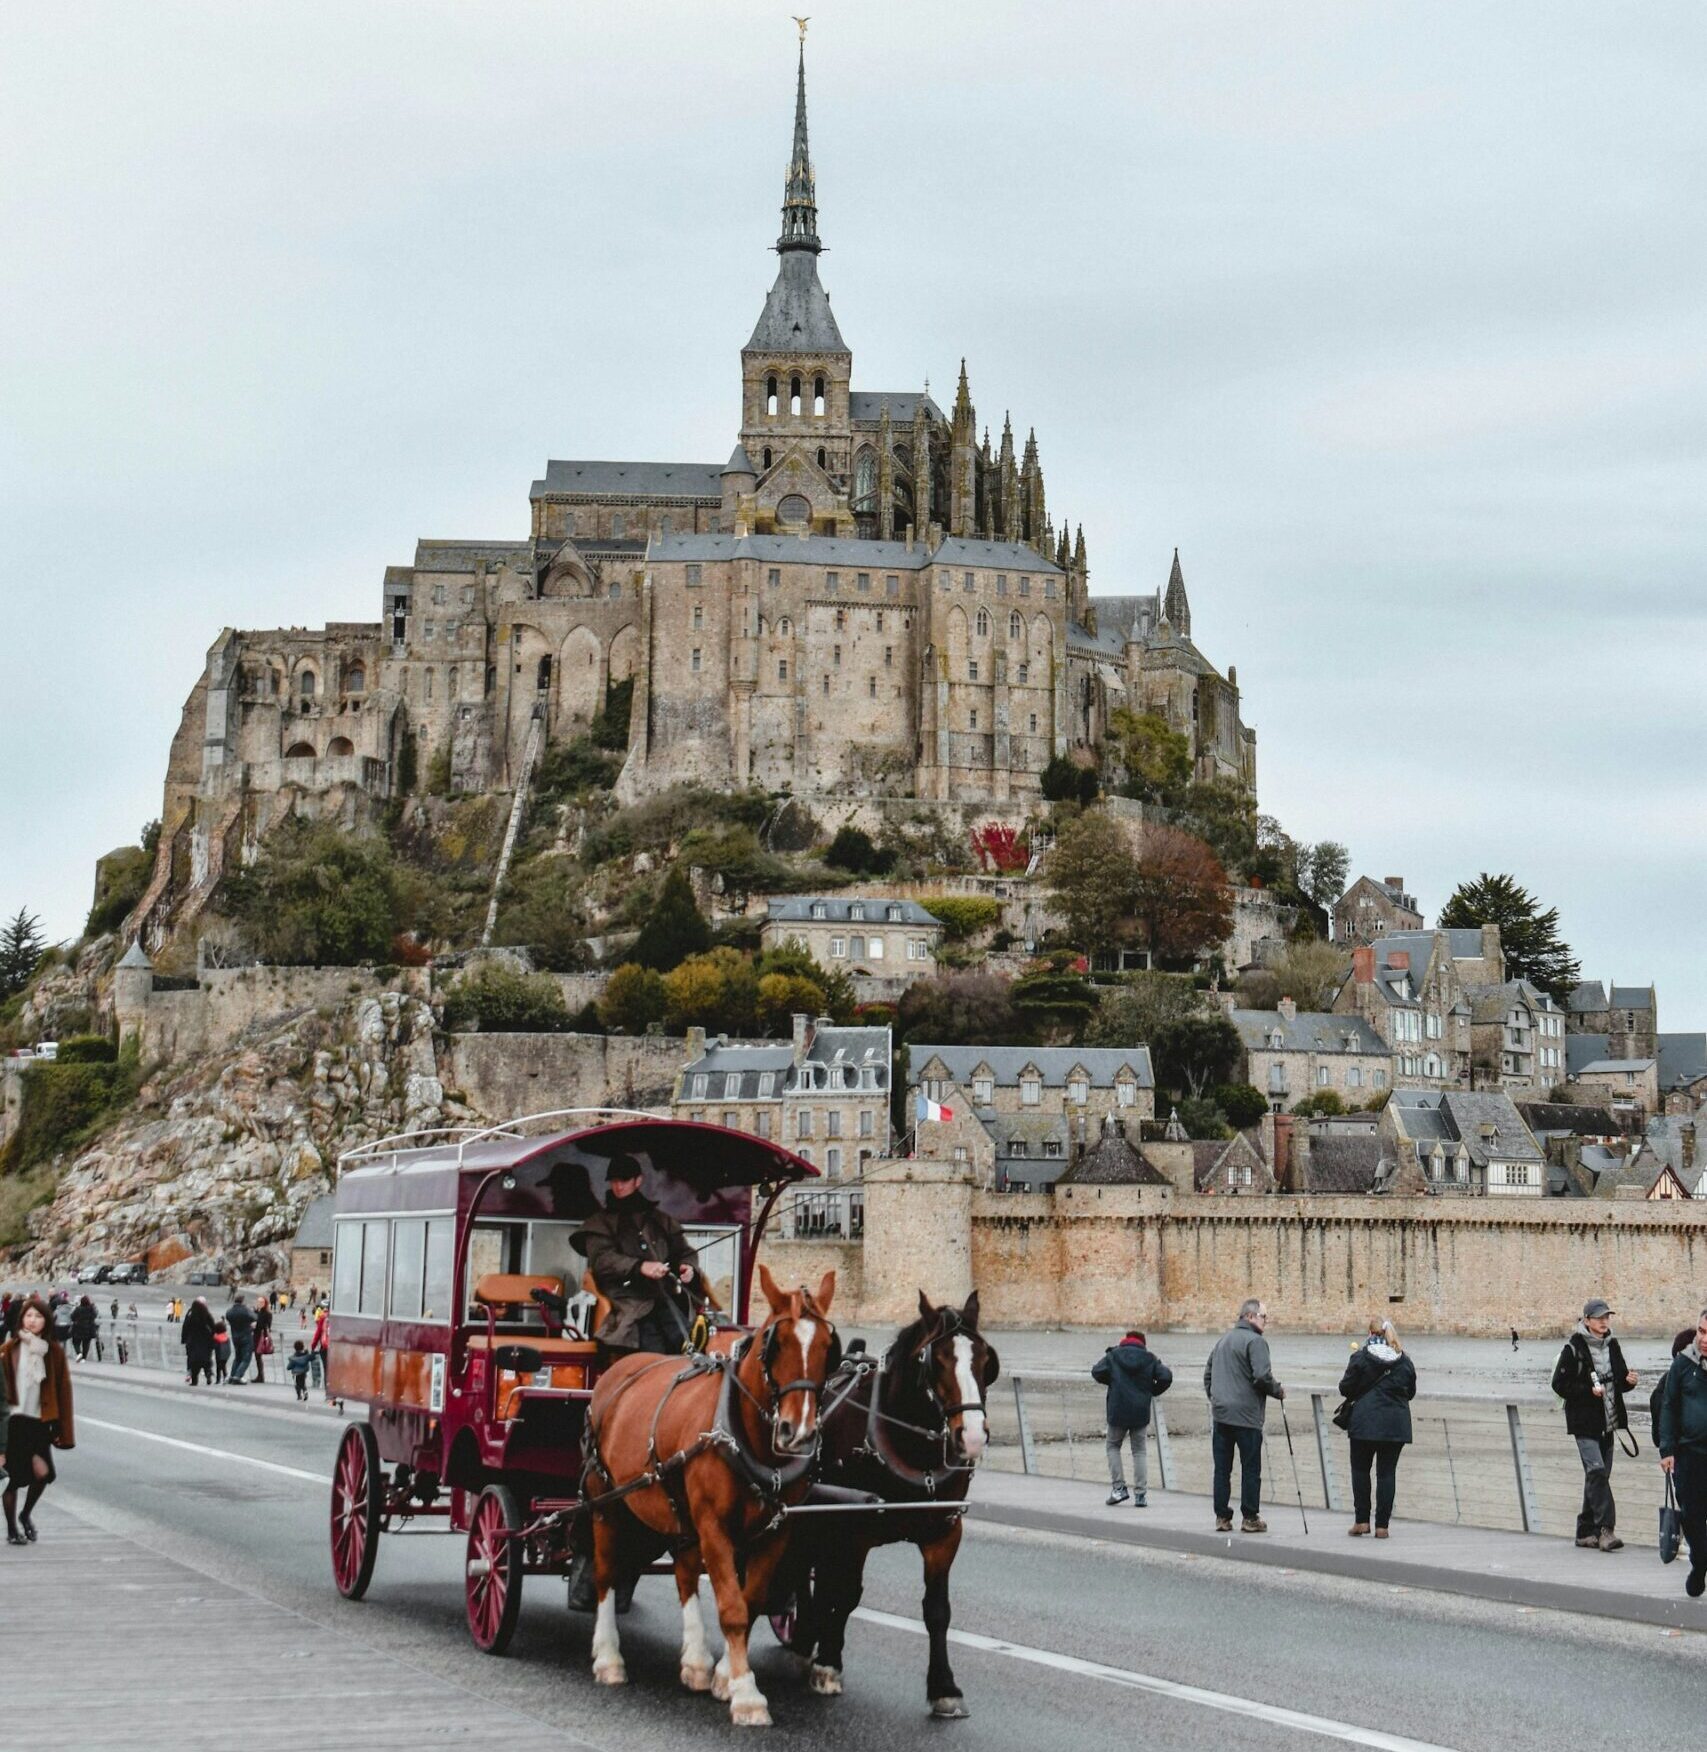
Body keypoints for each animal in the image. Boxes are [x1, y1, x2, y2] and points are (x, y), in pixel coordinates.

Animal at [585, 1268, 837, 1730]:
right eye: (777, 1343)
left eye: (829, 1347)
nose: (799, 1432)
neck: (747, 1439)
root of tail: (621, 1368)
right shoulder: (714, 1527)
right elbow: (732, 1608)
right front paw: (747, 1695)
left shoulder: (775, 1531)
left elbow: (749, 1602)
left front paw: (725, 1676)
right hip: (605, 1504)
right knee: (606, 1572)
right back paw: (609, 1656)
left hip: (678, 1512)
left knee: (685, 1574)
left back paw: (697, 1661)